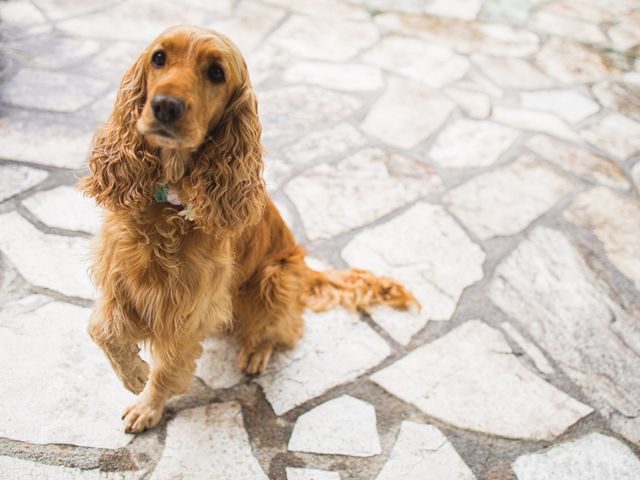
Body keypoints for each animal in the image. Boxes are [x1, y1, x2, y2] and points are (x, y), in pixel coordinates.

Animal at [80, 24, 418, 434]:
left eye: (216, 73)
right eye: (159, 57)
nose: (165, 106)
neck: (169, 205)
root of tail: (306, 267)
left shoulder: (187, 309)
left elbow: (167, 369)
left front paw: (148, 404)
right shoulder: (120, 273)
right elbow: (101, 328)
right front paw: (132, 373)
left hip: (276, 277)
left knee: (286, 327)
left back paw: (257, 350)